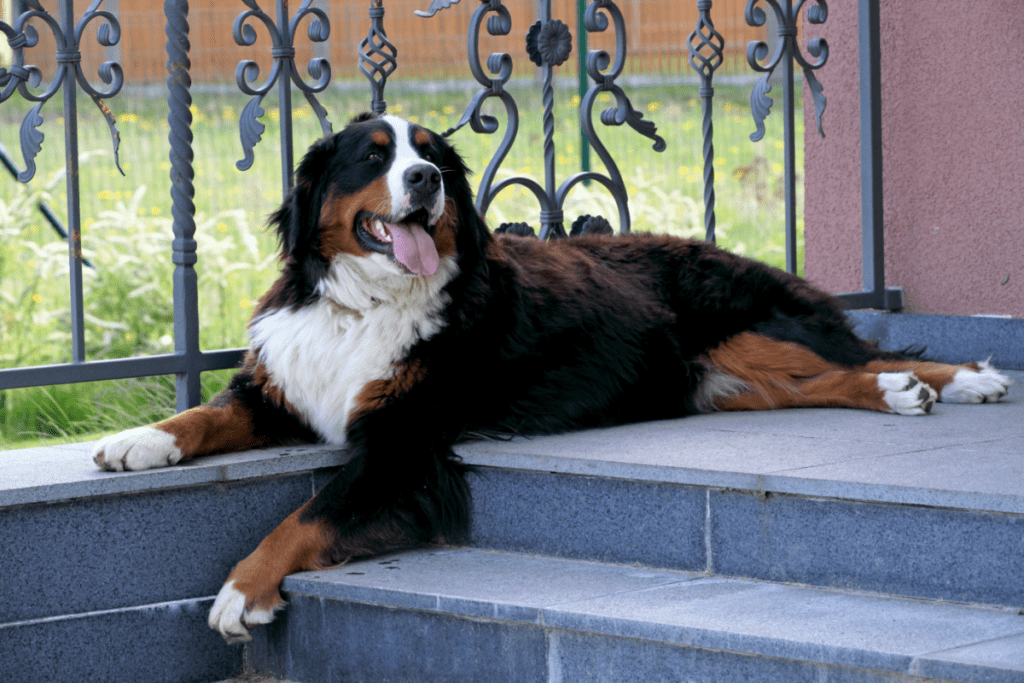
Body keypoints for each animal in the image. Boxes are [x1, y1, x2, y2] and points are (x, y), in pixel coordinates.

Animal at [94, 112, 1007, 643]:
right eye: (373, 156)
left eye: (431, 157)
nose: (424, 181)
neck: (362, 305)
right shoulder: (283, 387)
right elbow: (205, 416)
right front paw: (136, 442)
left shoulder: (402, 445)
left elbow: (302, 516)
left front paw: (240, 590)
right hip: (722, 368)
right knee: (830, 375)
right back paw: (922, 388)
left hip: (745, 328)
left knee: (864, 357)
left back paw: (953, 380)